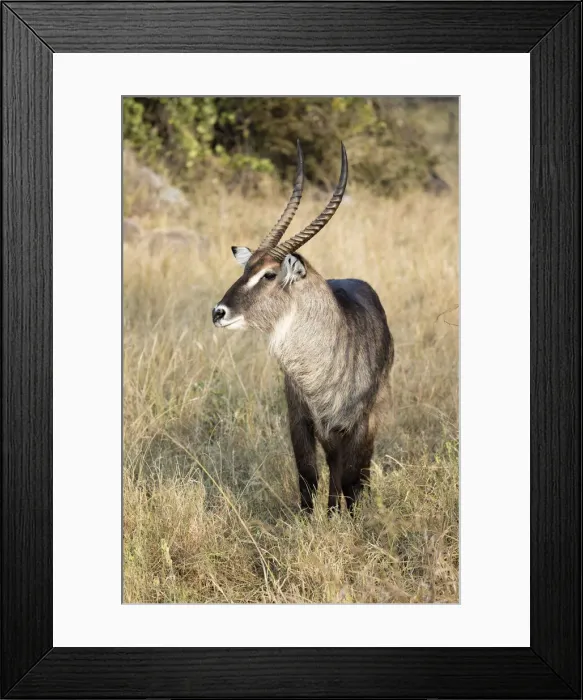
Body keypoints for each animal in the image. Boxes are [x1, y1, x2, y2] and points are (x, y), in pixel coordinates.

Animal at [212, 141, 394, 514]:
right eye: (246, 269)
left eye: (269, 274)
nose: (218, 312)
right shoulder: (300, 419)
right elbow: (307, 476)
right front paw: (311, 522)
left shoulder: (357, 423)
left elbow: (353, 478)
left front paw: (350, 522)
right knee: (332, 466)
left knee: (357, 470)